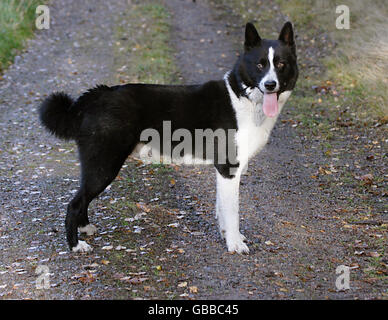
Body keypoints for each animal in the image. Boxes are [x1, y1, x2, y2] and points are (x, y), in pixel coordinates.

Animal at [39, 21, 298, 254]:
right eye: (260, 64)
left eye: (281, 64)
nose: (270, 84)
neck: (243, 96)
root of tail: (95, 96)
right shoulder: (228, 168)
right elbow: (232, 211)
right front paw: (234, 243)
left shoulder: (225, 172)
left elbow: (222, 209)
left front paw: (227, 235)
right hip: (104, 166)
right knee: (74, 204)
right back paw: (75, 245)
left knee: (82, 199)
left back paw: (85, 228)